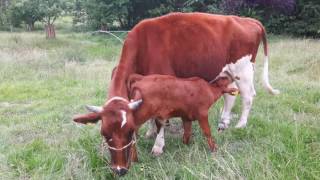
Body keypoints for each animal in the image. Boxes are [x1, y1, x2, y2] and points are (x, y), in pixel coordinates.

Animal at [74, 12, 278, 174]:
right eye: (104, 133)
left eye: (130, 131)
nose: (119, 170)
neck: (143, 46)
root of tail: (247, 19)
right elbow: (150, 114)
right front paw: (150, 132)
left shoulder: (163, 85)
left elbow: (160, 119)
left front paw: (158, 145)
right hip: (227, 72)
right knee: (229, 95)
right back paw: (223, 123)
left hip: (243, 69)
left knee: (248, 96)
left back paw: (241, 124)